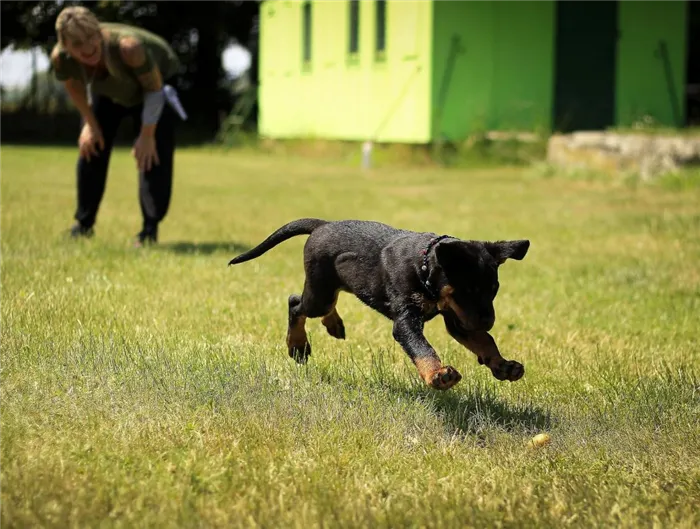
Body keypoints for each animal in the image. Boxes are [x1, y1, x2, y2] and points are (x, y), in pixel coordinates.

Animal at [230, 218, 532, 388]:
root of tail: (322, 225)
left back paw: (334, 325)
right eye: (467, 290)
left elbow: (485, 341)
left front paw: (503, 366)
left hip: (332, 287)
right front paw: (437, 375)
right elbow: (422, 347)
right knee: (296, 303)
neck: (423, 266)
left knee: (326, 303)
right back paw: (298, 345)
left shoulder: (458, 319)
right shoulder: (407, 320)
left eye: (493, 289)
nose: (488, 321)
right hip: (319, 292)